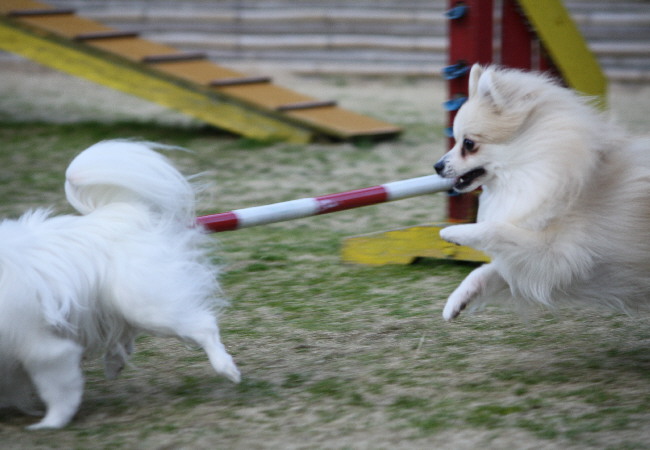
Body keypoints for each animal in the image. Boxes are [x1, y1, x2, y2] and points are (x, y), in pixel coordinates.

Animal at [0, 140, 240, 429]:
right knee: (126, 334)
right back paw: (115, 364)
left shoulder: (42, 348)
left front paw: (49, 424)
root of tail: (122, 213)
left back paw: (227, 368)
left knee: (204, 326)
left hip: (146, 304)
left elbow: (59, 391)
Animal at [435, 64, 650, 321]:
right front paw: (457, 301)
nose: (437, 166)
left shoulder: (556, 253)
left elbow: (495, 229)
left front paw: (453, 232)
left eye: (468, 144)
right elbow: (486, 272)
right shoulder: (546, 267)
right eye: (456, 140)